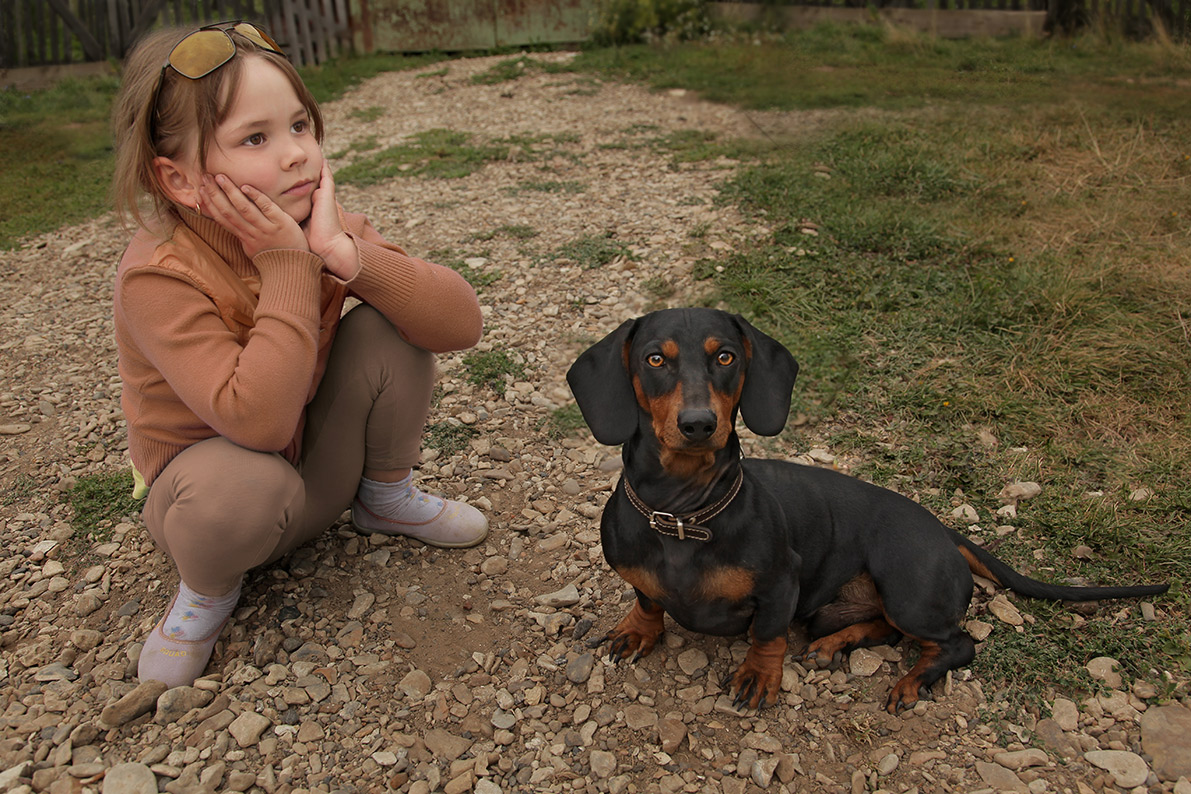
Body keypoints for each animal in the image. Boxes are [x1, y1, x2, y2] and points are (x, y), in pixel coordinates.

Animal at [564, 307, 1162, 709]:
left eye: (726, 356)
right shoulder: (643, 576)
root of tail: (944, 530)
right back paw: (835, 644)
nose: (698, 424)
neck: (684, 517)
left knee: (956, 643)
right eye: (655, 359)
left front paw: (759, 676)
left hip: (908, 590)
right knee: (885, 631)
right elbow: (648, 600)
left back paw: (912, 681)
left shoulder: (781, 587)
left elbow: (767, 635)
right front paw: (638, 631)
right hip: (839, 607)